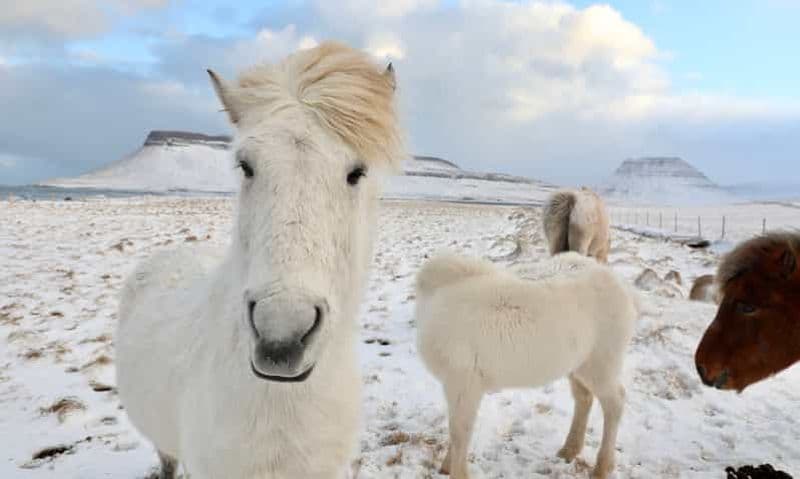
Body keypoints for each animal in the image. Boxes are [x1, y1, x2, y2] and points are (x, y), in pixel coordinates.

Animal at [415, 252, 638, 479]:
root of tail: (617, 283)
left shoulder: (462, 382)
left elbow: (460, 431)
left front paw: (455, 470)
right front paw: (446, 465)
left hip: (601, 363)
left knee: (615, 402)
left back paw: (602, 467)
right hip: (578, 365)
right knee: (584, 398)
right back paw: (570, 449)